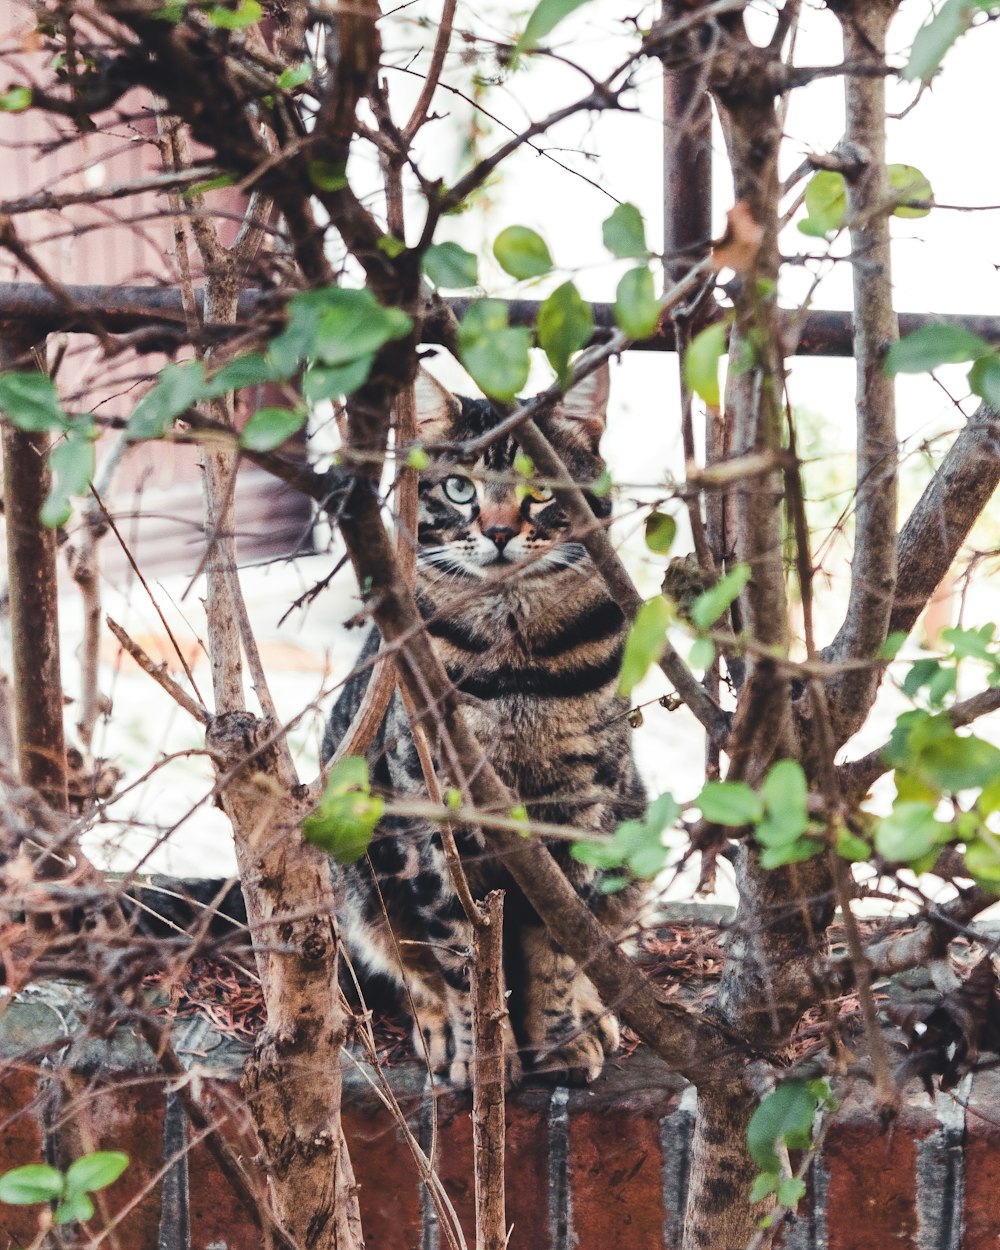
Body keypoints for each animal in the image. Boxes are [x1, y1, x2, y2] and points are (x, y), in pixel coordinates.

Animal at [325, 365, 645, 1085]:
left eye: (541, 488)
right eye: (459, 487)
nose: (498, 531)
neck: (513, 662)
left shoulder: (583, 798)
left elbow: (558, 941)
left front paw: (559, 1040)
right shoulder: (431, 807)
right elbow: (459, 950)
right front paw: (483, 1056)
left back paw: (595, 1014)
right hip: (359, 869)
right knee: (405, 965)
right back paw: (441, 1029)